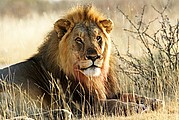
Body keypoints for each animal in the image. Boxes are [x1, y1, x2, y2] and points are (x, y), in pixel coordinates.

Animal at [0, 5, 162, 118]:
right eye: (79, 40)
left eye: (98, 38)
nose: (94, 57)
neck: (93, 79)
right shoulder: (83, 104)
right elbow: (111, 104)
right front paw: (136, 107)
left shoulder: (107, 93)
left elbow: (132, 95)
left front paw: (155, 101)